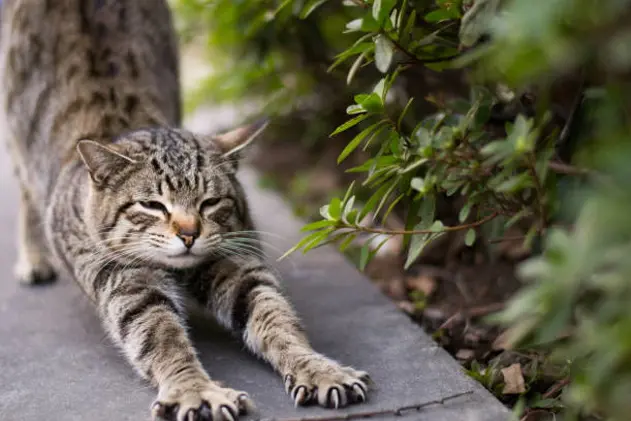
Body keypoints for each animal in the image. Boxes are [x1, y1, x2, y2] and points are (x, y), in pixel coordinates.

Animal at [0, 0, 370, 420]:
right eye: (151, 205)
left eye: (210, 202)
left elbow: (276, 316)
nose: (189, 233)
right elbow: (161, 336)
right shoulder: (126, 282)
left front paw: (318, 368)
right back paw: (33, 257)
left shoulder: (234, 262)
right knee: (26, 189)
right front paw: (196, 390)